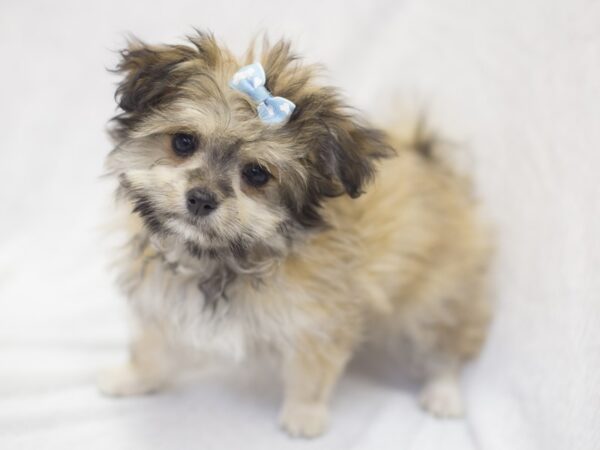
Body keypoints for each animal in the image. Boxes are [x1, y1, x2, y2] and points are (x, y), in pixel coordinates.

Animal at [99, 32, 492, 440]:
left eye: (257, 174)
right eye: (183, 142)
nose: (201, 198)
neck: (225, 256)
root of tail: (432, 160)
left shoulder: (318, 320)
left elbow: (311, 372)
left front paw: (304, 415)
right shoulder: (162, 295)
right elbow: (150, 345)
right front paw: (132, 377)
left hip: (438, 298)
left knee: (446, 346)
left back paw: (443, 394)